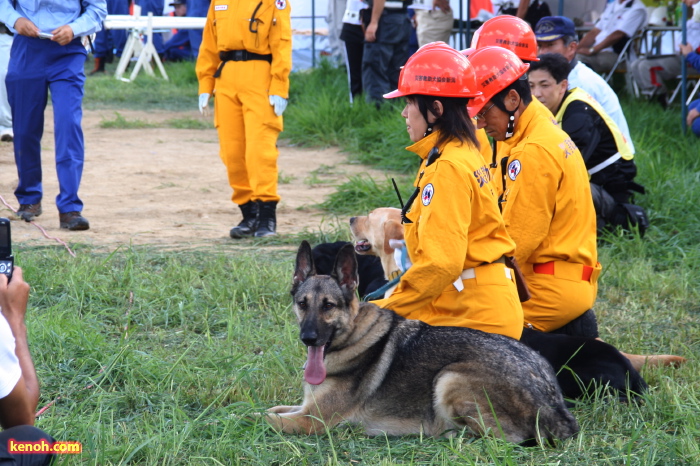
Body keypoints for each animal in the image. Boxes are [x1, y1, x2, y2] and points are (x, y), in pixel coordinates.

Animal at [264, 240, 580, 444]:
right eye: (302, 304)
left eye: (328, 306)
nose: (308, 338)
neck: (353, 336)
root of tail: (554, 405)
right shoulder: (302, 408)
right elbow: (271, 409)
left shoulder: (310, 420)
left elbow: (260, 417)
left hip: (448, 377)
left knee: (503, 437)